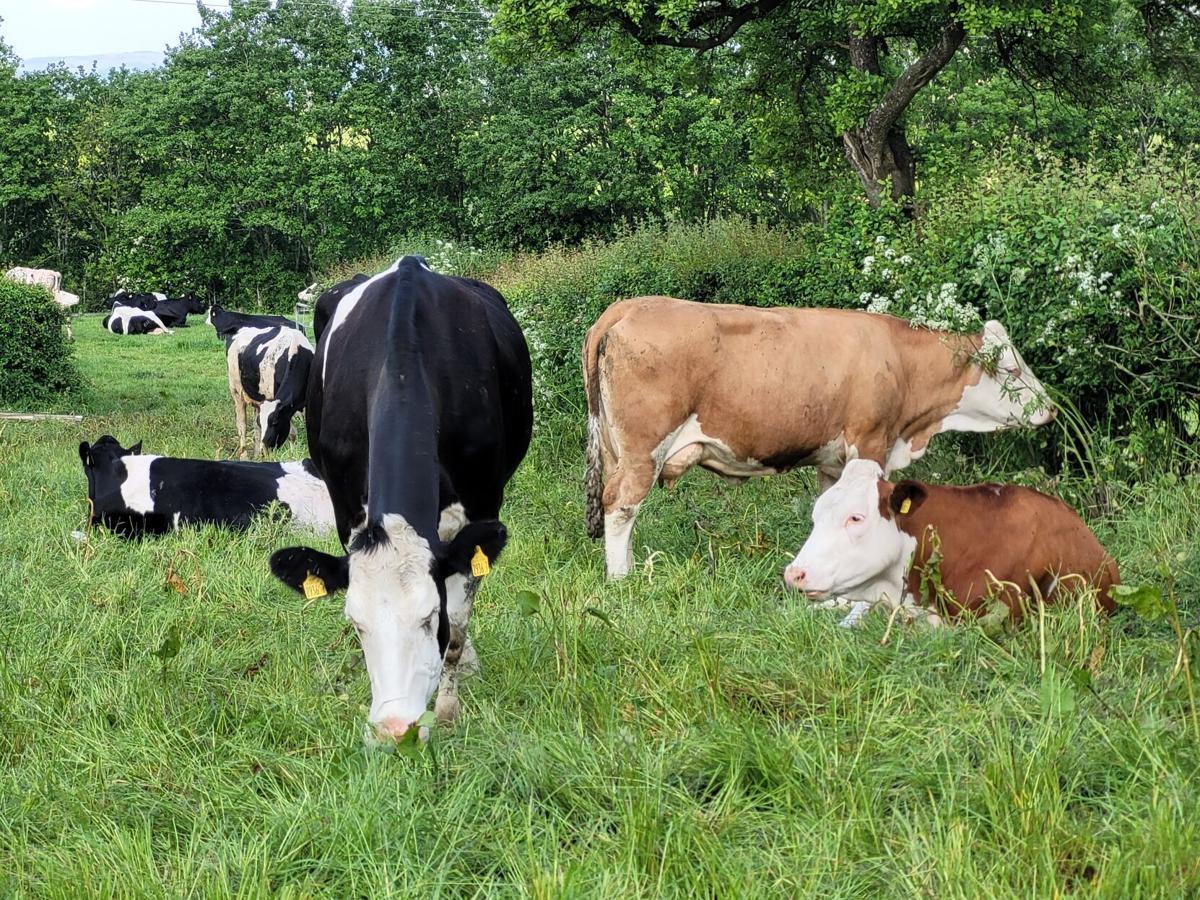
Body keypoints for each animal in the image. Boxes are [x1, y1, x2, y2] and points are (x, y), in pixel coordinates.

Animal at [226, 325, 314, 458]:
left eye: (275, 422)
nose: (264, 450)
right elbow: (292, 434)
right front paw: (293, 455)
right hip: (236, 392)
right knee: (242, 425)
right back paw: (244, 455)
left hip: (257, 400)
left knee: (255, 427)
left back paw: (256, 455)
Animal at [268, 256, 533, 743]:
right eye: (356, 624)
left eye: (429, 618)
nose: (396, 730)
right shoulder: (346, 508)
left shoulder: (484, 502)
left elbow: (459, 624)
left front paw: (446, 709)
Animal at [582, 297, 1055, 579]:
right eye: (1011, 368)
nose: (1050, 407)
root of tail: (629, 306)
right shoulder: (870, 441)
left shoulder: (833, 459)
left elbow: (833, 505)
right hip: (644, 448)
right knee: (621, 505)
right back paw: (621, 578)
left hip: (614, 447)